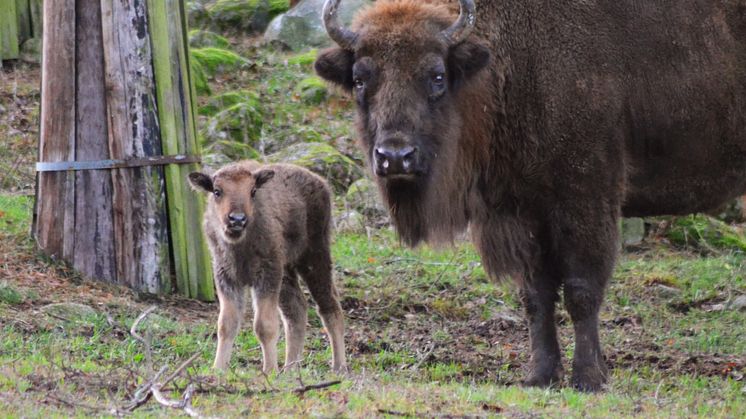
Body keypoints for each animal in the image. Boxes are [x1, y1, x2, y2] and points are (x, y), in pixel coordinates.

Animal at [189, 162, 346, 374]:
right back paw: (290, 368)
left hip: (314, 257)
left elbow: (264, 326)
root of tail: (320, 182)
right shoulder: (227, 278)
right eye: (216, 191)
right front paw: (218, 369)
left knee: (329, 305)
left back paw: (339, 367)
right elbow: (226, 325)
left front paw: (269, 370)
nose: (237, 219)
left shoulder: (267, 275)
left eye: (253, 191)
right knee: (296, 309)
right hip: (287, 271)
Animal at [314, 0, 744, 394]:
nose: (395, 156)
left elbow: (581, 290)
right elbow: (536, 296)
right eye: (359, 79)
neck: (511, 66)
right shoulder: (522, 212)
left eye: (436, 76)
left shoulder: (586, 200)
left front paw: (589, 378)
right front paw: (540, 376)